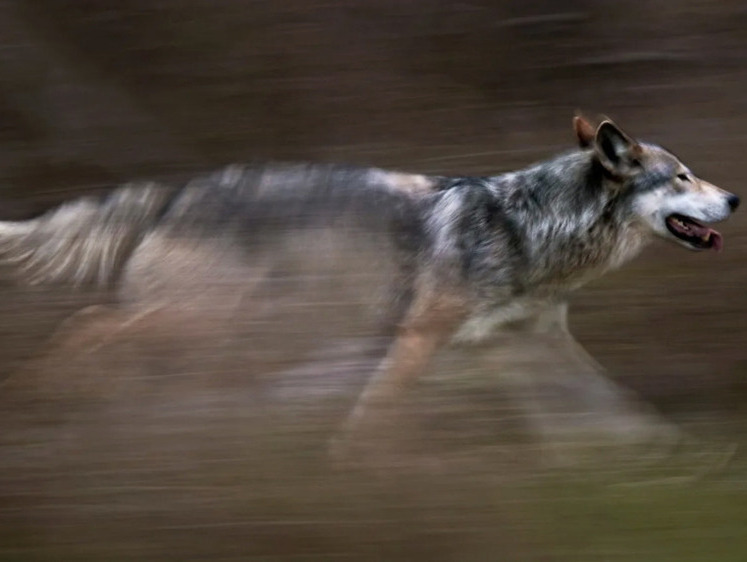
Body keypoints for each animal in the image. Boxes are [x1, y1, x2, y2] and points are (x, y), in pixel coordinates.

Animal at [0, 114, 740, 460]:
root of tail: (175, 192)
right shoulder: (418, 337)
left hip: (238, 332)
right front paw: (350, 475)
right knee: (87, 324)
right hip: (208, 320)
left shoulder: (523, 346)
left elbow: (613, 411)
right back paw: (40, 398)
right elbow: (372, 418)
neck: (532, 226)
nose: (734, 197)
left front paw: (670, 459)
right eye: (682, 177)